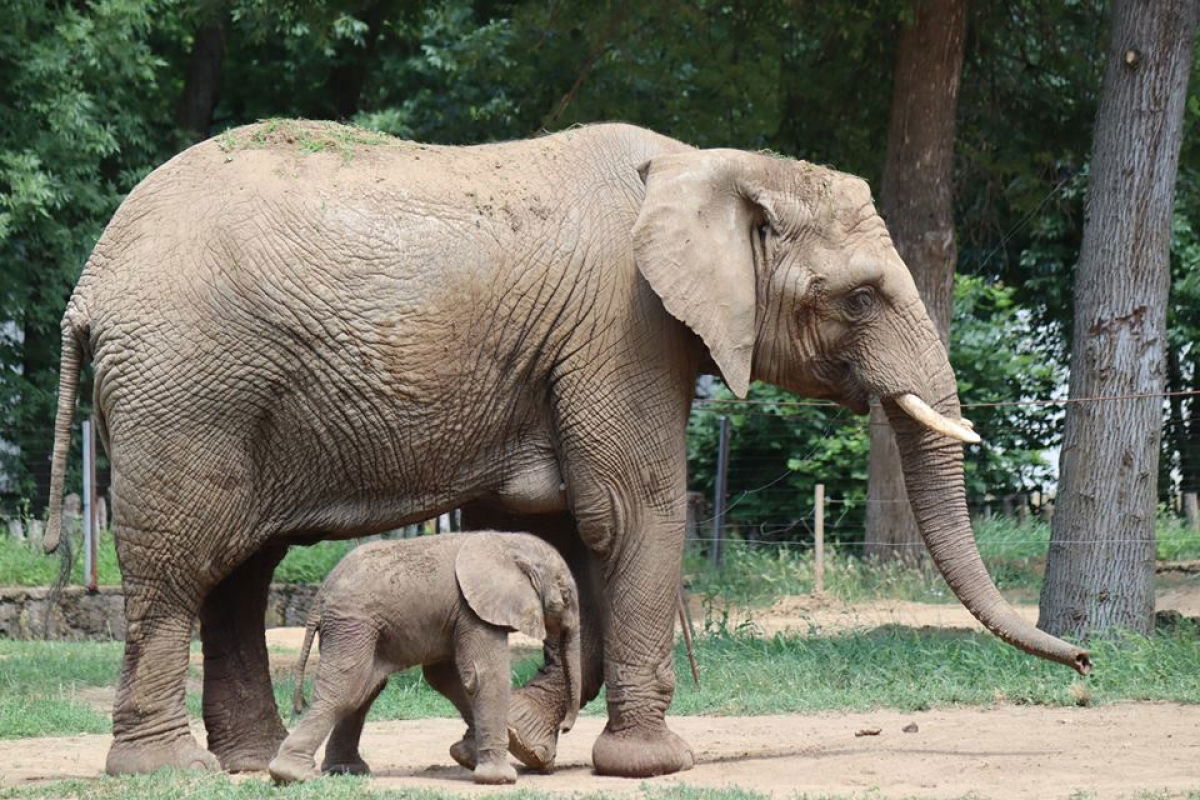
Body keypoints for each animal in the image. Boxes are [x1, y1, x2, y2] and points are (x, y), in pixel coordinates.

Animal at [266, 534, 580, 786]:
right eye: (565, 597)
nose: (565, 728)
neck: (507, 542)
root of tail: (318, 598)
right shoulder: (474, 608)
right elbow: (485, 675)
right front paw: (500, 779)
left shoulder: (456, 615)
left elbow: (447, 677)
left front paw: (466, 755)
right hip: (353, 622)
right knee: (347, 690)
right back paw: (293, 775)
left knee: (365, 689)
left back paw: (345, 771)